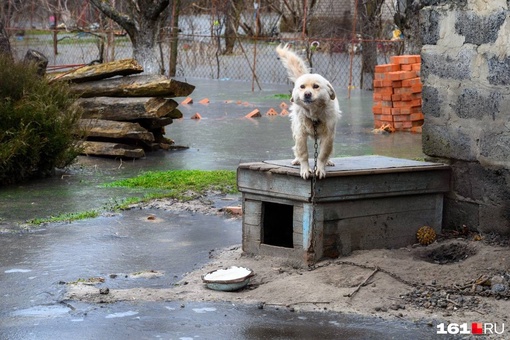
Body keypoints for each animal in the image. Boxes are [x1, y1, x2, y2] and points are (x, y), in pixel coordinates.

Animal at [276, 43, 340, 179]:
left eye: (316, 86)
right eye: (302, 87)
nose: (307, 94)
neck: (314, 114)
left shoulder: (328, 135)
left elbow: (322, 154)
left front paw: (320, 169)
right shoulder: (300, 134)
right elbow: (303, 153)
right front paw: (305, 169)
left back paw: (329, 161)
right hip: (295, 129)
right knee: (296, 148)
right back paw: (296, 160)